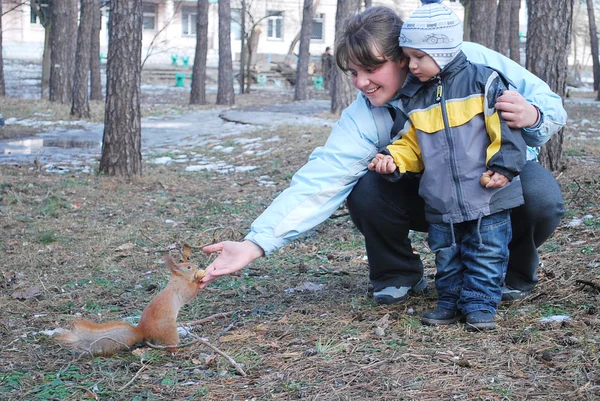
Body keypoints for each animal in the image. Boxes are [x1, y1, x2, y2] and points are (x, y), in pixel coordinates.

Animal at [57, 248, 205, 354]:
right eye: (188, 267)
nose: (197, 265)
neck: (178, 279)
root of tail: (142, 330)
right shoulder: (182, 289)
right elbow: (190, 293)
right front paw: (199, 279)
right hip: (169, 330)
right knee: (171, 345)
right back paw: (179, 349)